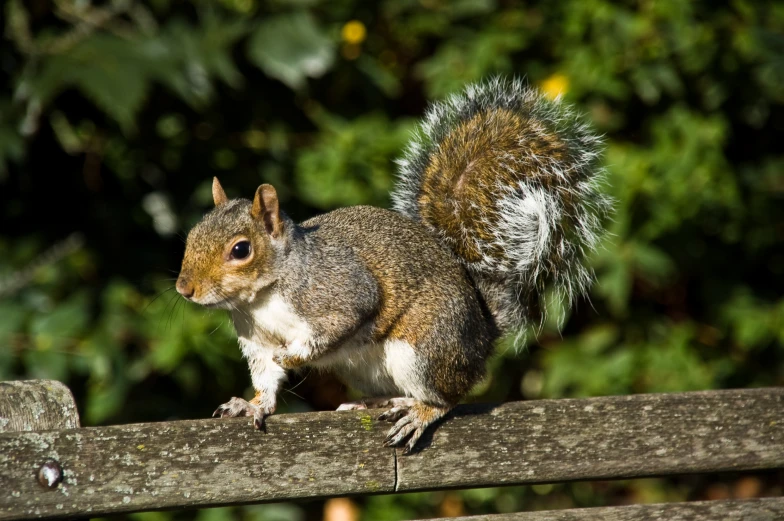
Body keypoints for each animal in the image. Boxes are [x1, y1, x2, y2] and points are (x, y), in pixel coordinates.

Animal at [176, 76, 612, 450]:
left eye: (240, 250)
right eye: (192, 234)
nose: (185, 288)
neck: (260, 299)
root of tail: (483, 336)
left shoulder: (337, 291)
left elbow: (340, 322)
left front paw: (294, 356)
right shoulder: (257, 340)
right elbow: (266, 378)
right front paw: (251, 404)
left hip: (424, 348)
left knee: (447, 397)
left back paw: (418, 412)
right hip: (364, 369)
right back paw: (373, 403)